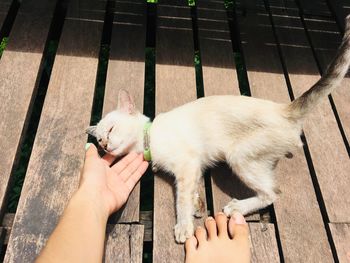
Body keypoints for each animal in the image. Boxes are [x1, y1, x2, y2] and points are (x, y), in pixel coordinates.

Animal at [86, 16, 350, 243]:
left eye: (110, 131)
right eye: (99, 141)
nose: (105, 146)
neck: (147, 142)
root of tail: (285, 109)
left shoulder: (187, 164)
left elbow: (181, 201)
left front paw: (184, 227)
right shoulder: (194, 168)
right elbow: (192, 192)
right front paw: (198, 206)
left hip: (238, 156)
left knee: (273, 193)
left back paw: (236, 207)